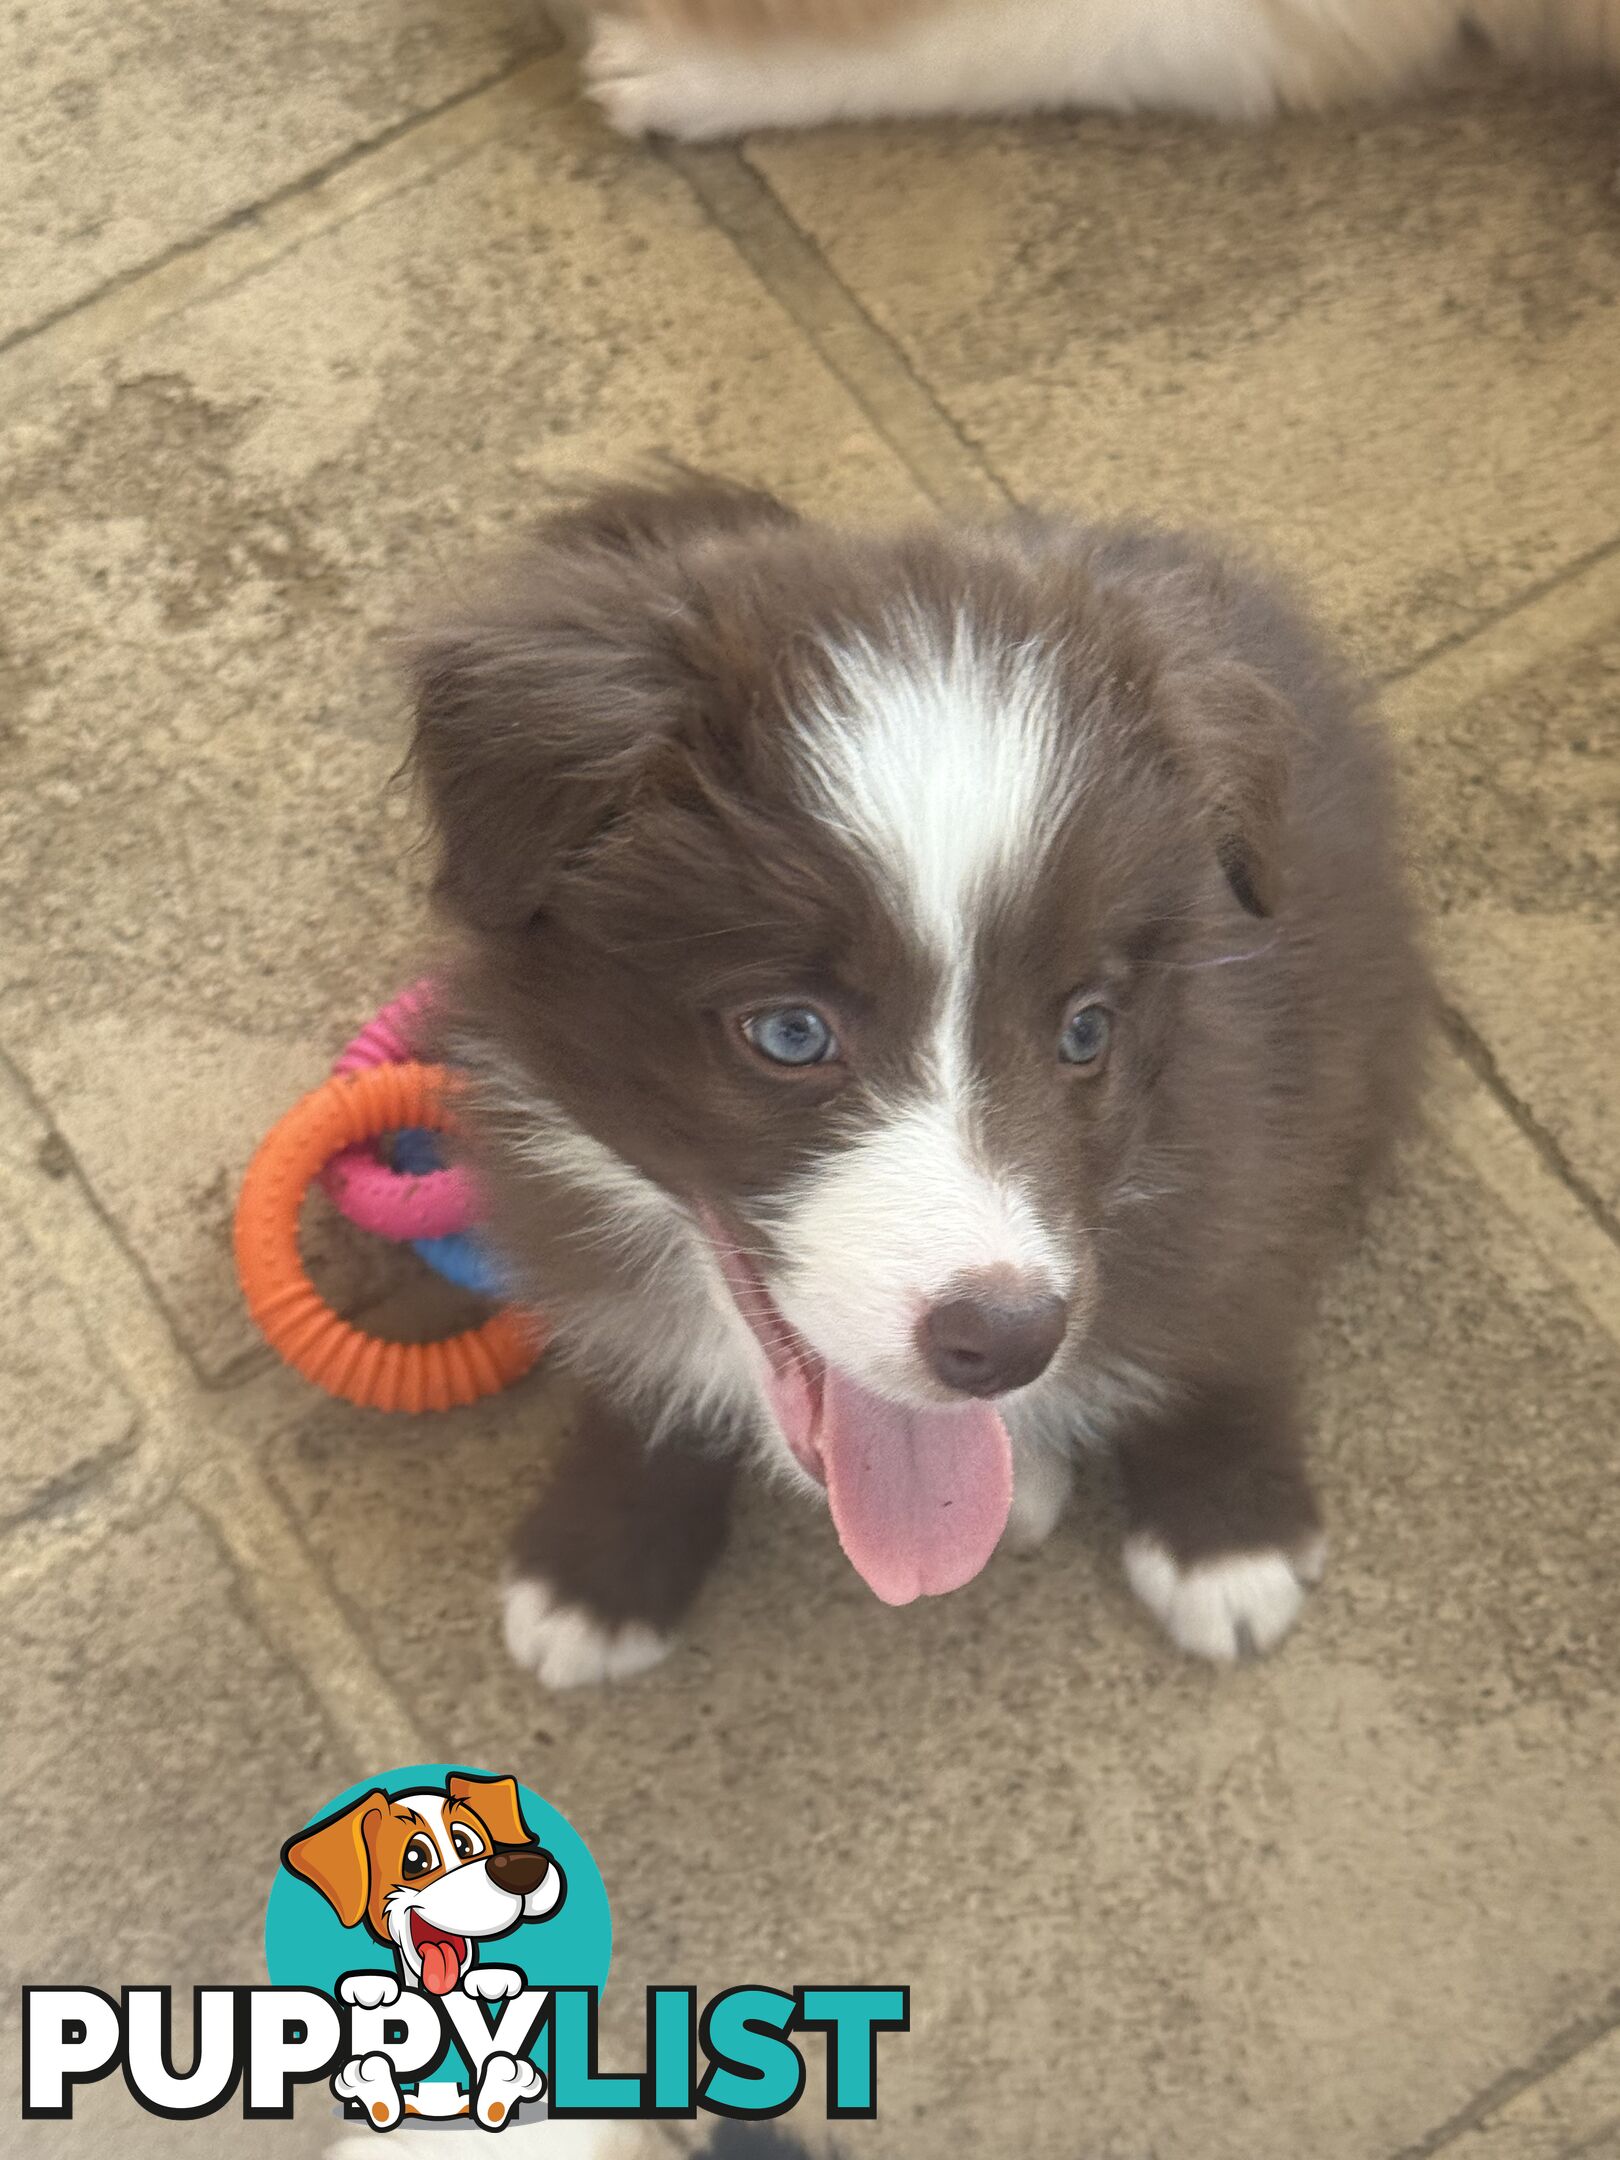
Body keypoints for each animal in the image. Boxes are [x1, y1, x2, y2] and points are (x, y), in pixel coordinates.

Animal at [412, 481, 1425, 1693]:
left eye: (1086, 1028)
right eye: (791, 1031)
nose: (1010, 1341)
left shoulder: (1243, 1118)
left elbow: (1232, 1310)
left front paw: (1229, 1532)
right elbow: (632, 1378)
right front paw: (599, 1563)